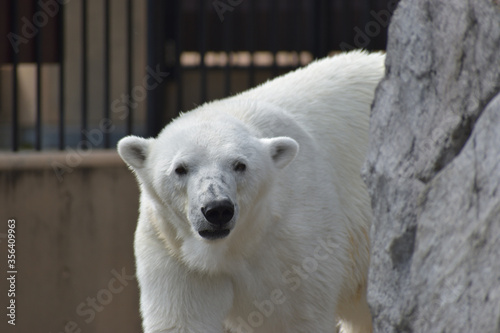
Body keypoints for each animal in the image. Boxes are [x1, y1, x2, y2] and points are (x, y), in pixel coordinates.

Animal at [119, 50, 384, 330]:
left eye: (240, 165)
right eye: (180, 168)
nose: (217, 209)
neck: (234, 246)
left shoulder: (296, 248)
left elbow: (290, 317)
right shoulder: (172, 249)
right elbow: (183, 319)